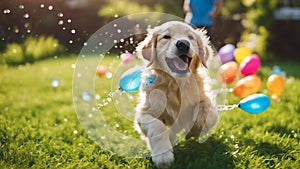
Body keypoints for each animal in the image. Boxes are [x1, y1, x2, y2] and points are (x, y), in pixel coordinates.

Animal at [135, 21, 218, 169]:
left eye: (190, 37)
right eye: (166, 37)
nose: (183, 44)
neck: (177, 85)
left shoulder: (207, 102)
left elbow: (205, 111)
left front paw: (194, 130)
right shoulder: (144, 113)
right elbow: (157, 126)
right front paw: (163, 155)